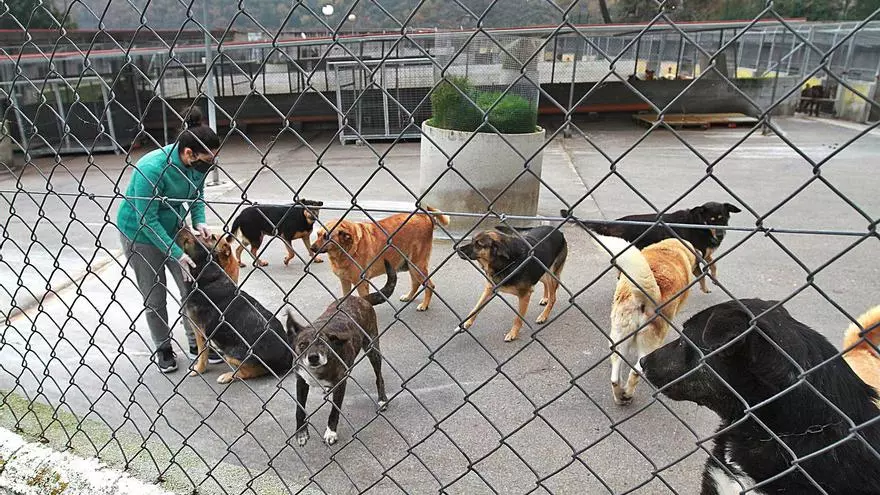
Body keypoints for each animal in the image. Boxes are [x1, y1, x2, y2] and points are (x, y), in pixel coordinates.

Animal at [176, 228, 294, 384]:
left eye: (191, 240)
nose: (181, 227)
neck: (207, 274)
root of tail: (288, 358)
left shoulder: (199, 330)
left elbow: (202, 355)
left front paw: (198, 369)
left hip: (233, 354)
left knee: (251, 372)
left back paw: (229, 375)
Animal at [287, 260, 396, 447]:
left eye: (323, 343)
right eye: (302, 344)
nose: (313, 357)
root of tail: (361, 299)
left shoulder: (341, 383)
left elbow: (334, 412)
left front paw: (331, 432)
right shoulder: (301, 380)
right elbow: (299, 409)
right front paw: (301, 433)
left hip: (372, 349)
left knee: (379, 376)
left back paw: (382, 399)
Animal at [312, 206, 449, 311]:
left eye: (326, 237)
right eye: (317, 234)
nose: (312, 248)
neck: (345, 250)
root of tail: (424, 216)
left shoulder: (362, 283)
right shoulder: (344, 281)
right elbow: (345, 296)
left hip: (417, 265)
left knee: (430, 285)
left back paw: (424, 305)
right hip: (410, 265)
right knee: (416, 282)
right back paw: (409, 297)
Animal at [562, 201, 740, 293]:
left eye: (724, 219)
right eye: (711, 219)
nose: (720, 235)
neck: (697, 224)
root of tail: (616, 223)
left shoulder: (703, 253)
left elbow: (712, 264)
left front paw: (713, 280)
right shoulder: (695, 254)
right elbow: (702, 273)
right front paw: (704, 287)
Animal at [593, 235, 697, 405]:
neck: (670, 249)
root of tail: (646, 298)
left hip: (619, 336)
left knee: (615, 374)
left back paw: (619, 396)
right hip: (649, 344)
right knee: (636, 372)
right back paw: (628, 394)